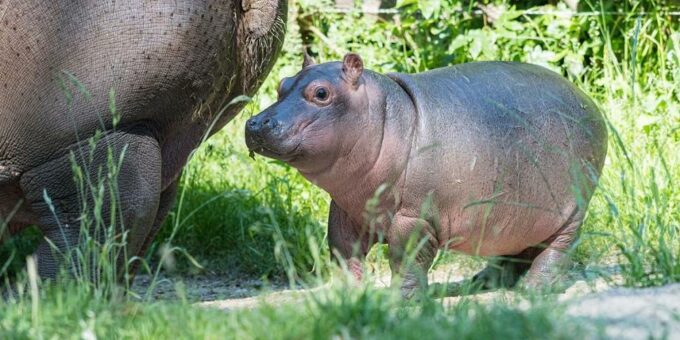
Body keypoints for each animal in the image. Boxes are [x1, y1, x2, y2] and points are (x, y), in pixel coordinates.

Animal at [247, 54, 608, 296]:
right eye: (281, 84)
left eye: (321, 93)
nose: (255, 123)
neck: (384, 115)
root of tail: (591, 104)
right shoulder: (346, 210)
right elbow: (343, 252)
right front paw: (349, 296)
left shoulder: (413, 217)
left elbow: (406, 258)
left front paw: (399, 301)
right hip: (518, 214)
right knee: (515, 250)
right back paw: (481, 282)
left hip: (572, 211)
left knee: (557, 249)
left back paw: (533, 290)